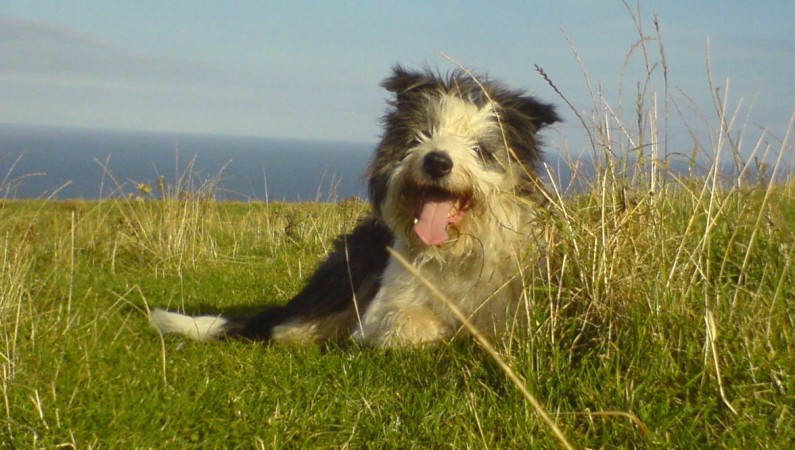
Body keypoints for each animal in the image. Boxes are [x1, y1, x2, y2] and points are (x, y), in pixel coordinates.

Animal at [151, 66, 560, 348]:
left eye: (480, 148)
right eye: (422, 135)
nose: (437, 162)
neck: (455, 250)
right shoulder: (385, 307)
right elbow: (411, 323)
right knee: (287, 327)